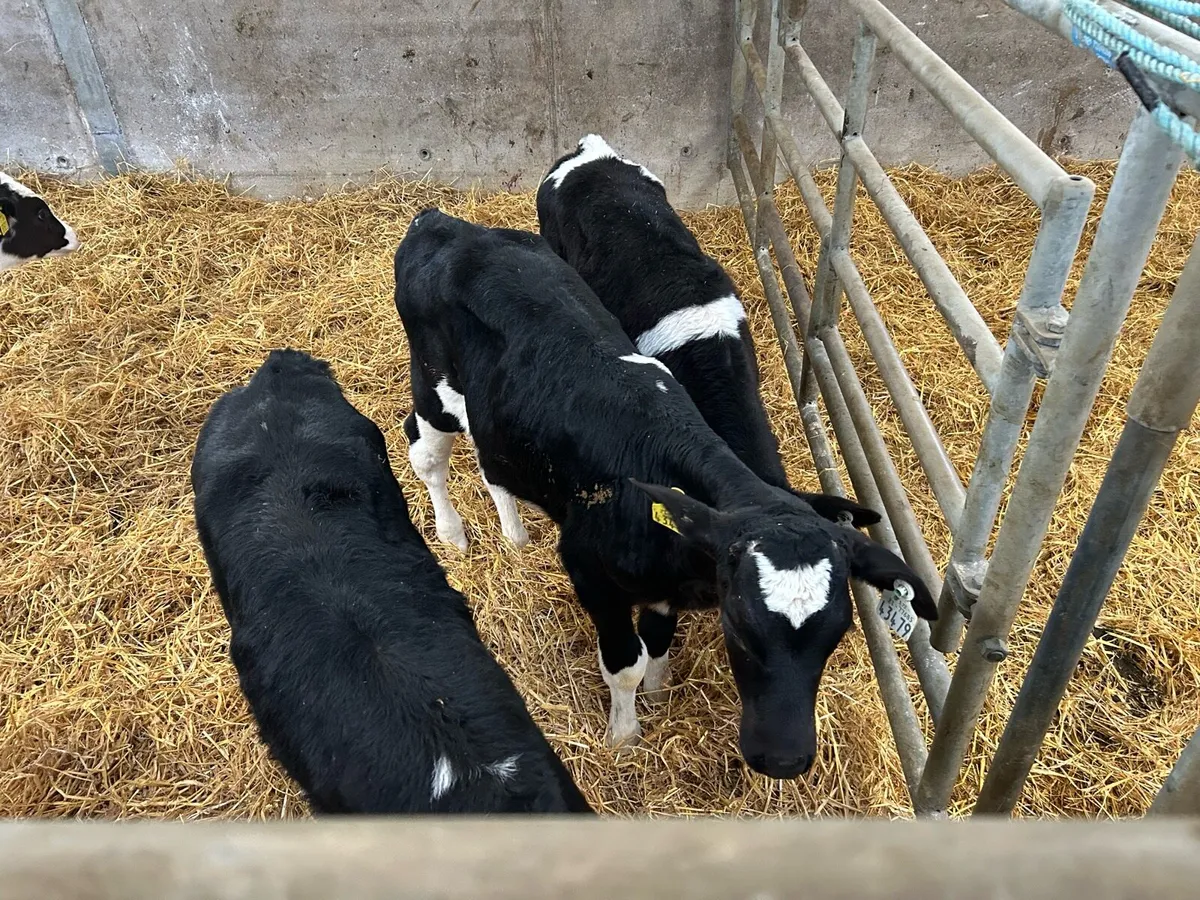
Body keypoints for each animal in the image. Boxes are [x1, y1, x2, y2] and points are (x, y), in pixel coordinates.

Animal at [394, 210, 936, 779]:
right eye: (738, 626)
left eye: (837, 632)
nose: (784, 759)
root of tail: (439, 221)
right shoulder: (590, 574)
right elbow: (624, 662)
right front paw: (624, 734)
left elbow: (657, 637)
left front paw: (657, 692)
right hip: (434, 389)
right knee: (425, 453)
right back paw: (452, 535)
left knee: (491, 466)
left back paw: (515, 535)